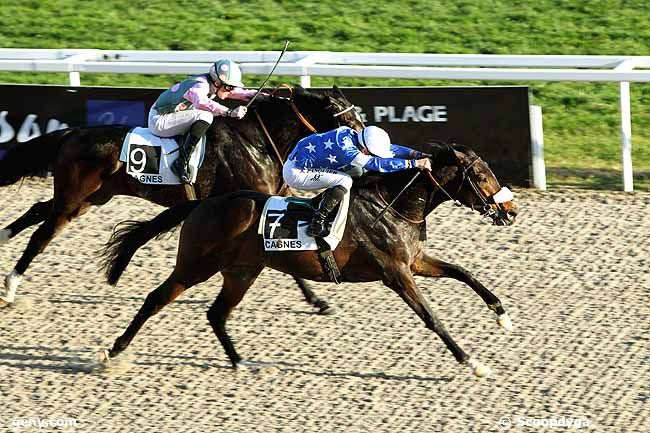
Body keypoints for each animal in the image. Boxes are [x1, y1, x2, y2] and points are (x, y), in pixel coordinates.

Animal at [0, 84, 360, 308]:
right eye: (349, 121)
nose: (365, 150)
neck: (257, 142)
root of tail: (73, 133)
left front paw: (317, 300)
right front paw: (318, 300)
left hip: (90, 198)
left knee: (38, 210)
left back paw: (4, 238)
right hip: (75, 197)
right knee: (42, 235)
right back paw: (11, 288)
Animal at [98, 143, 520, 376]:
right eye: (481, 175)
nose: (511, 211)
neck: (394, 206)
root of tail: (203, 203)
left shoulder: (415, 262)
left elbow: (463, 272)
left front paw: (502, 315)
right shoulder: (395, 273)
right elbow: (432, 317)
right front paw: (472, 362)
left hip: (242, 271)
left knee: (217, 314)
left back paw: (241, 363)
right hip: (196, 266)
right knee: (156, 299)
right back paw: (113, 352)